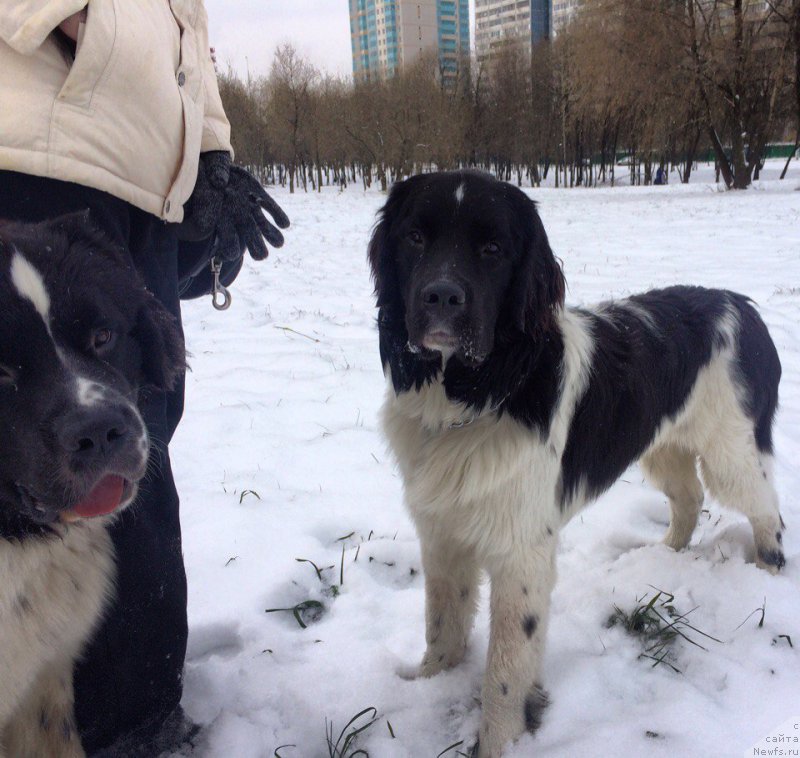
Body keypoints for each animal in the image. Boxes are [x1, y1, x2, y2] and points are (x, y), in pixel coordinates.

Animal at [372, 169, 784, 756]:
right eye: (414, 238)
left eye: (493, 249)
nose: (442, 296)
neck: (475, 394)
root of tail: (742, 306)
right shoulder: (443, 533)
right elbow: (442, 624)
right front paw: (426, 688)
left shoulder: (521, 553)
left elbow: (504, 670)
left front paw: (499, 742)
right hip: (663, 447)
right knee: (689, 497)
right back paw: (665, 555)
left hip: (732, 449)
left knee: (765, 506)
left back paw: (769, 569)